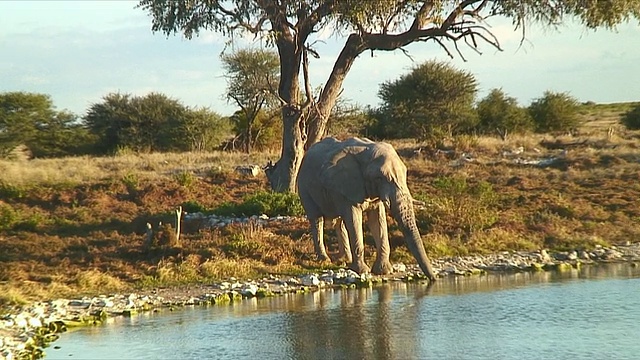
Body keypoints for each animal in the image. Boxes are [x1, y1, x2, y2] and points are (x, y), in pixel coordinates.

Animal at [298, 136, 438, 280]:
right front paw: (362, 271)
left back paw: (344, 260)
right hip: (304, 187)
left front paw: (383, 271)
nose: (434, 279)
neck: (366, 153)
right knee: (317, 219)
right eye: (379, 178)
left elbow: (378, 220)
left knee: (340, 222)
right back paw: (325, 260)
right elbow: (354, 220)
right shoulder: (347, 184)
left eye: (405, 173)